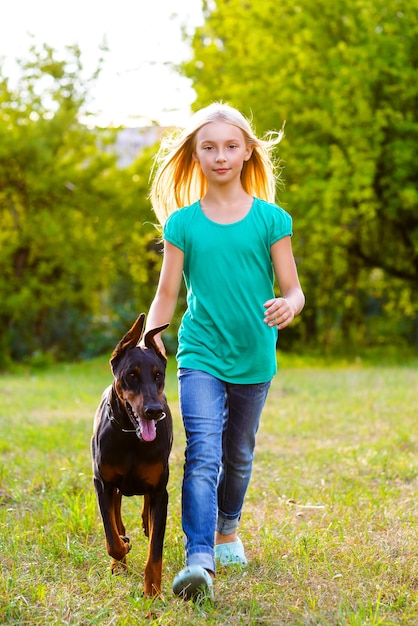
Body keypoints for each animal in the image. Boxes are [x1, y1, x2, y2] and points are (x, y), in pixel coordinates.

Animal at [92, 312, 173, 596]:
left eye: (158, 375)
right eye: (131, 375)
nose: (154, 411)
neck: (131, 437)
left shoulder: (160, 490)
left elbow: (155, 550)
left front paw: (153, 591)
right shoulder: (102, 482)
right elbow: (111, 537)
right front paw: (122, 551)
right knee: (116, 510)